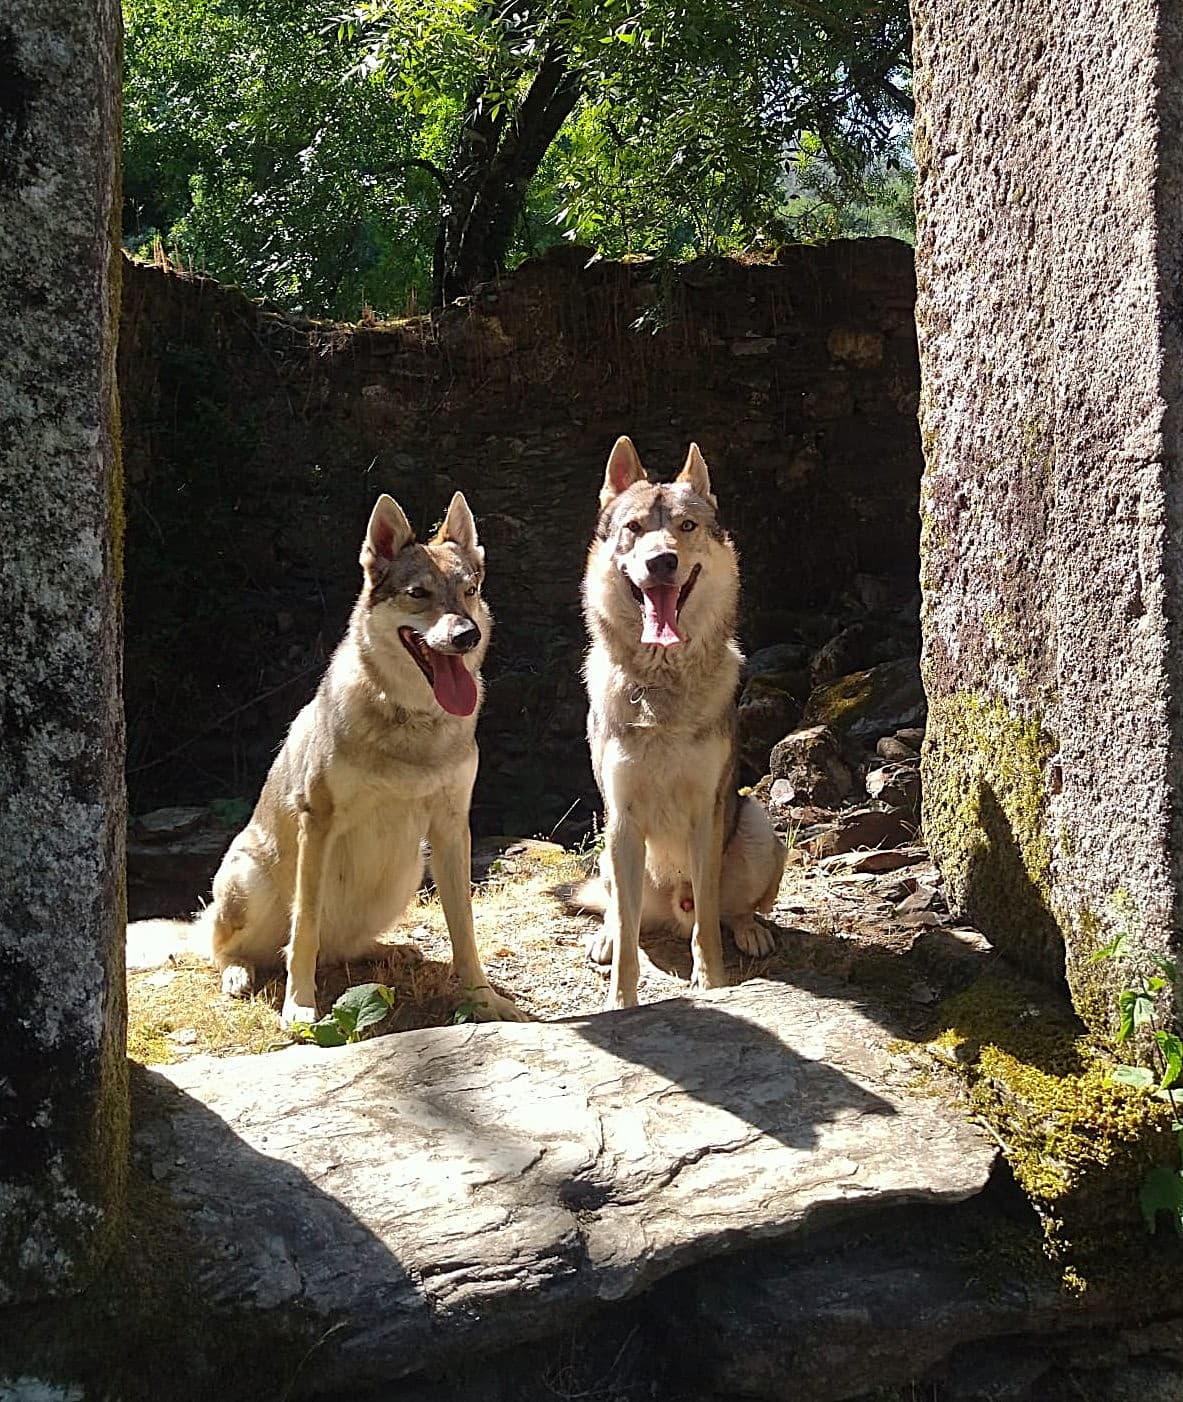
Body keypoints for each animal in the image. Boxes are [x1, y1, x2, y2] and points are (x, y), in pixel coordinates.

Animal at [127, 490, 524, 1026]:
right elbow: (305, 930)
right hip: (248, 882)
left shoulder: (451, 826)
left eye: (469, 590)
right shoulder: (317, 822)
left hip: (407, 870)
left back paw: (392, 951)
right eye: (418, 593)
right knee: (228, 947)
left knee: (339, 948)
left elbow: (463, 930)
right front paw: (299, 1006)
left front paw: (483, 1000)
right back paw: (238, 974)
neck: (410, 720)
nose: (467, 636)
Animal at [581, 436, 786, 1009]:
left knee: (729, 912)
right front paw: (620, 1003)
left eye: (686, 526)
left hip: (759, 829)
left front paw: (711, 984)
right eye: (634, 528)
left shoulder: (704, 816)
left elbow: (707, 930)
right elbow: (628, 941)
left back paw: (751, 931)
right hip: (605, 853)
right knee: (618, 912)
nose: (662, 560)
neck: (661, 687)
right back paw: (606, 937)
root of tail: (672, 908)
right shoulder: (622, 821)